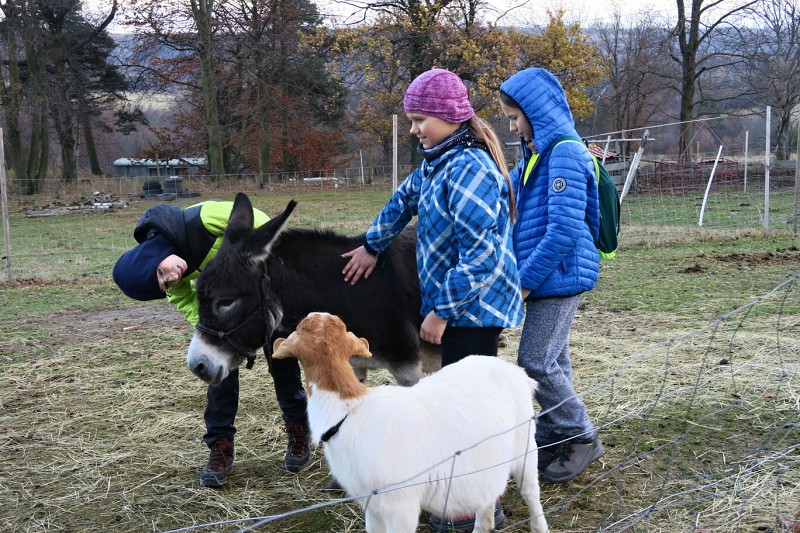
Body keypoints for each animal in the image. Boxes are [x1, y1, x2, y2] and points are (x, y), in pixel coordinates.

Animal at [272, 310, 548, 528]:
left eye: (300, 327)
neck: (350, 409)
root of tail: (516, 371)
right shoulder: (372, 506)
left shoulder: (400, 506)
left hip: (525, 448)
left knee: (531, 493)